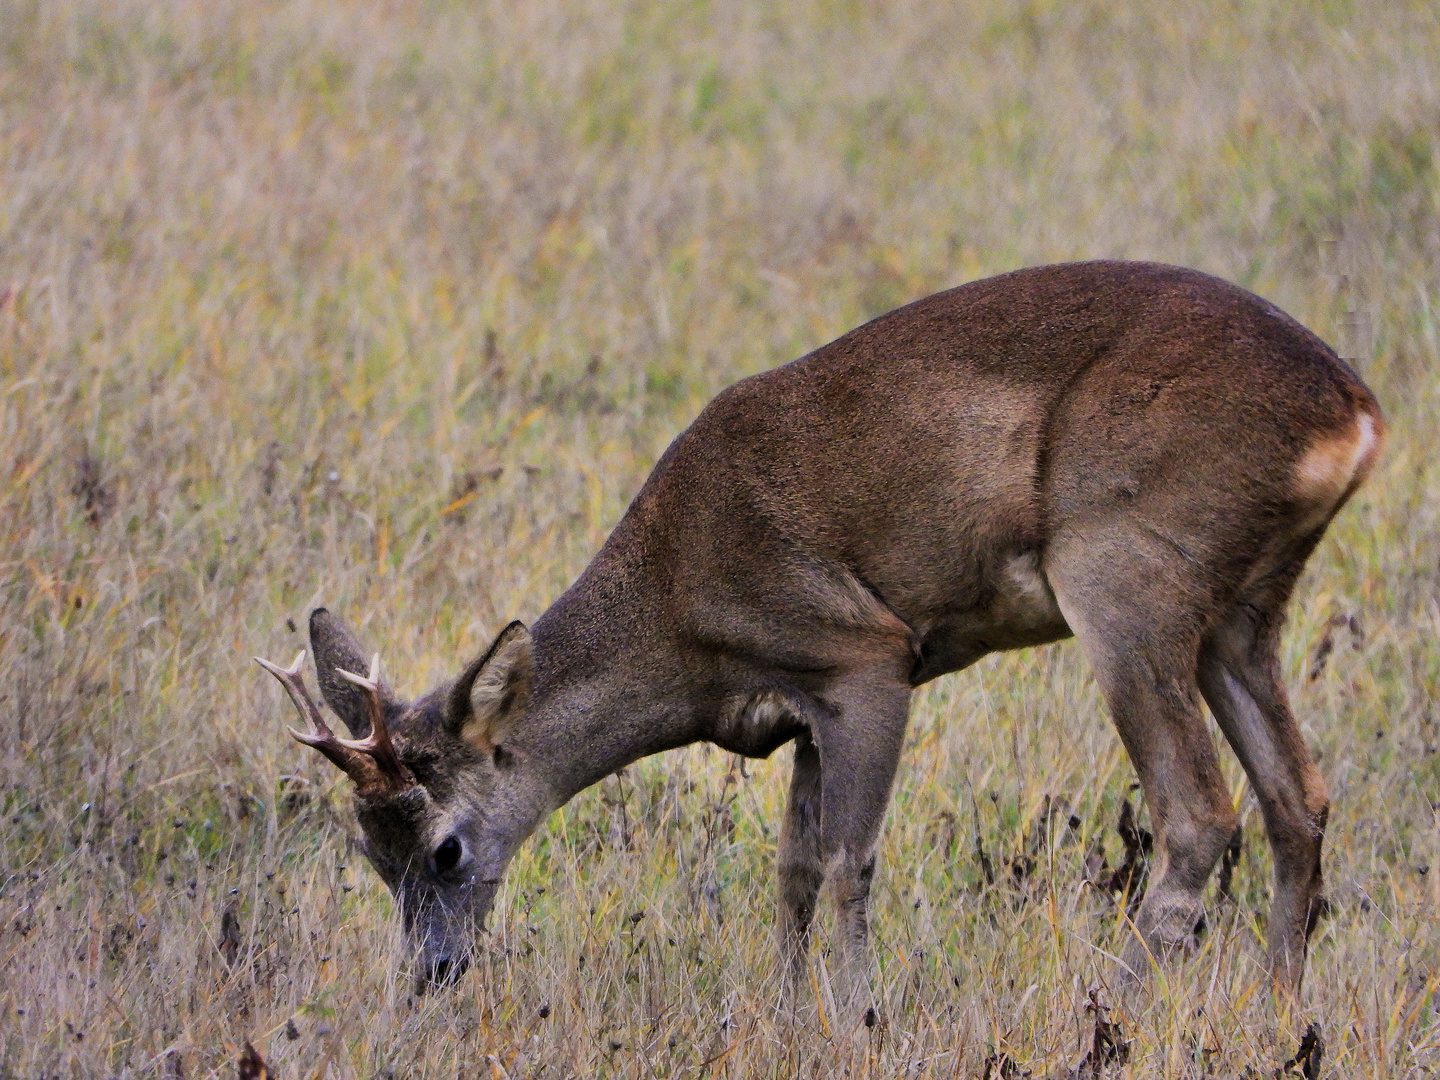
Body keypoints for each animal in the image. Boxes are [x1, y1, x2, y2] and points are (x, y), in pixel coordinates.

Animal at [259, 260, 1382, 1008]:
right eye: (368, 853)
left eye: (444, 850)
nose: (429, 976)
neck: (679, 610)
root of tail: (1355, 411)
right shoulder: (795, 711)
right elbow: (794, 867)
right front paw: (789, 1014)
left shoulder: (867, 656)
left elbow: (848, 860)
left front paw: (856, 1018)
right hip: (1240, 614)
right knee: (1299, 794)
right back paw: (1277, 1009)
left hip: (1126, 572)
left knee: (1199, 810)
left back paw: (1103, 1014)